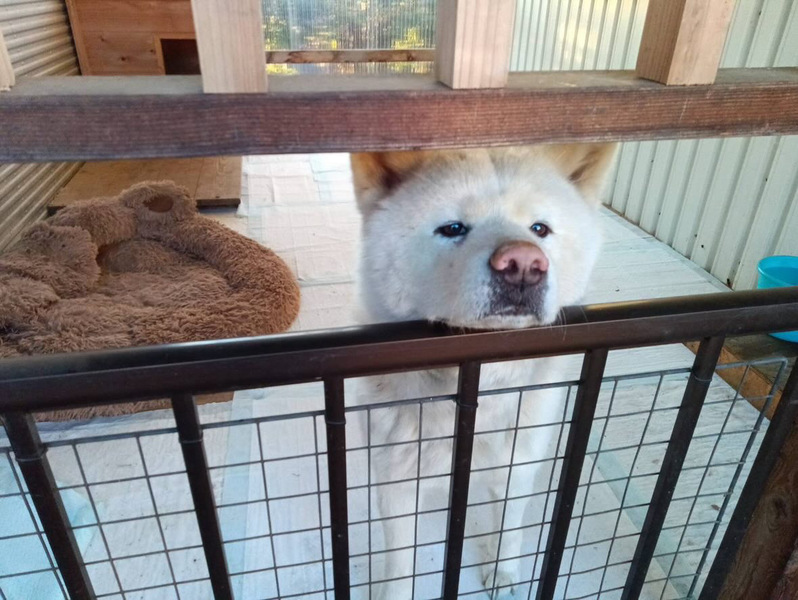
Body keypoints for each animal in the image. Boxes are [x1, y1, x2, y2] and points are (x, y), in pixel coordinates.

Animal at [350, 144, 616, 599]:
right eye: (453, 228)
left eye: (540, 229)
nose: (523, 263)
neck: (477, 389)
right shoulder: (396, 483)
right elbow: (400, 563)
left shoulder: (517, 463)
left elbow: (509, 526)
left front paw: (504, 574)